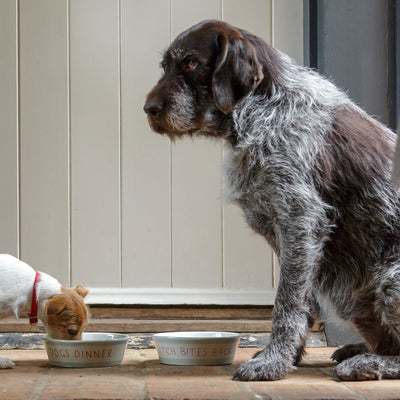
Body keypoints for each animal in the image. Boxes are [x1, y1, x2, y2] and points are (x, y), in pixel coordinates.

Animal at [144, 19, 400, 382]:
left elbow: (286, 304)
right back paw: (360, 350)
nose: (149, 109)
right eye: (165, 66)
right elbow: (300, 305)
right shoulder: (290, 236)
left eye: (192, 62)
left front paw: (272, 362)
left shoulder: (301, 223)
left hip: (390, 280)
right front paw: (288, 357)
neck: (264, 108)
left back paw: (367, 363)